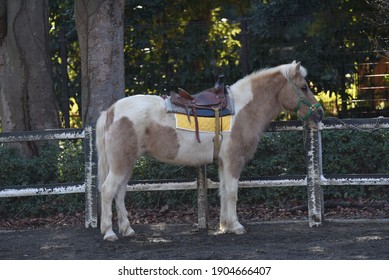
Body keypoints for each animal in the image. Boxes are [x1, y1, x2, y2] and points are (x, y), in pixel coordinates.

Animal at [95, 61, 322, 241]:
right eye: (304, 87)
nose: (319, 113)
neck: (243, 109)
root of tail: (111, 111)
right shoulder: (233, 161)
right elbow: (232, 192)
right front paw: (236, 226)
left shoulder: (223, 163)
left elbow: (223, 191)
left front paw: (225, 225)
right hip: (121, 164)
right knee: (108, 190)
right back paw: (109, 233)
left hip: (127, 163)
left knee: (120, 193)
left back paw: (127, 229)